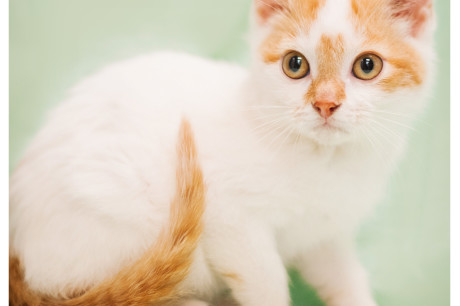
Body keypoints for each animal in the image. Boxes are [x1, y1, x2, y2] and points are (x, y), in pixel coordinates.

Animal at [9, 0, 434, 306]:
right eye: (295, 64)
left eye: (368, 65)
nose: (326, 104)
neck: (324, 162)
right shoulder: (230, 219)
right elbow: (265, 282)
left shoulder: (324, 233)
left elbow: (344, 275)